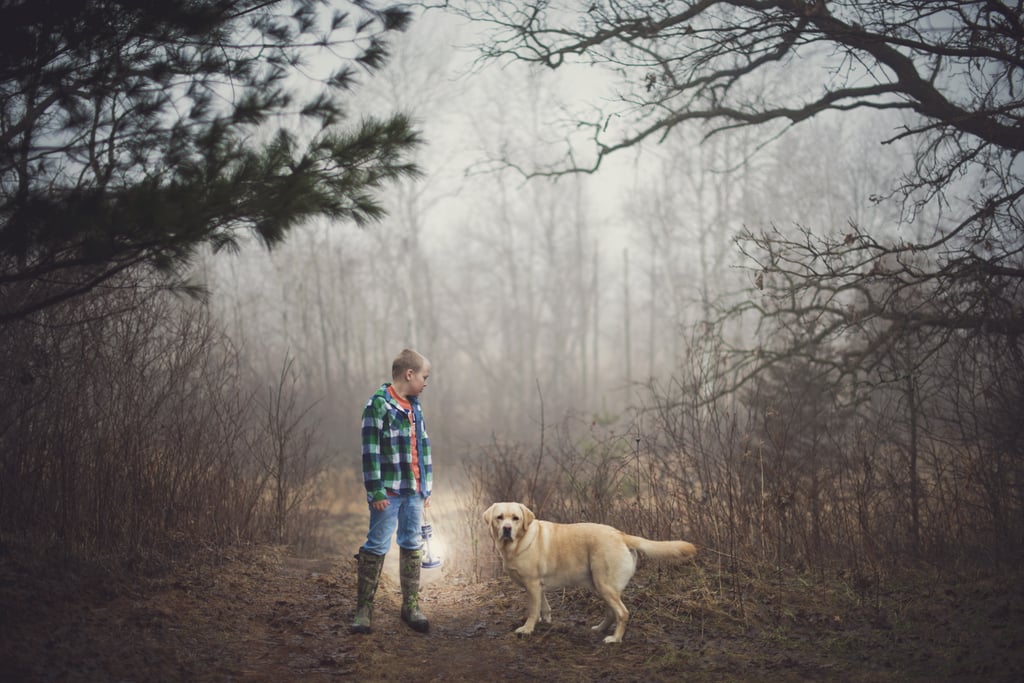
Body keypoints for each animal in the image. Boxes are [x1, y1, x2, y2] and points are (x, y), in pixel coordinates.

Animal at [481, 501, 696, 643]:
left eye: (515, 519)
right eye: (499, 518)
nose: (506, 529)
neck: (519, 542)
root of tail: (622, 535)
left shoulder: (532, 584)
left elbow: (532, 610)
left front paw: (527, 629)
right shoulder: (538, 586)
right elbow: (544, 606)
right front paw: (545, 622)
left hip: (604, 584)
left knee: (622, 613)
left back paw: (614, 639)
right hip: (604, 585)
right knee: (612, 613)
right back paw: (600, 629)